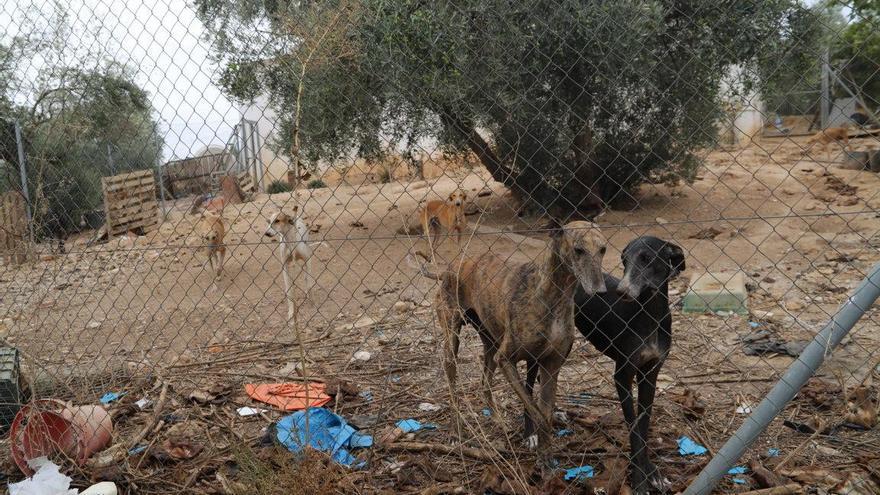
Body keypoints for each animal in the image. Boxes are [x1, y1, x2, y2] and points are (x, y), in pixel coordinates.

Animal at [418, 219, 604, 452]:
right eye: (578, 250)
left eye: (603, 249)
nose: (600, 291)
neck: (552, 294)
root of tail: (450, 269)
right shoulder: (506, 359)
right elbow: (536, 410)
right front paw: (536, 439)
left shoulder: (548, 363)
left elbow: (539, 406)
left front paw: (542, 448)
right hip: (453, 343)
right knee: (453, 389)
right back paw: (455, 432)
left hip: (490, 345)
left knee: (485, 384)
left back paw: (498, 421)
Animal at [576, 236, 688, 495]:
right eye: (623, 259)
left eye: (647, 258)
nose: (621, 291)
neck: (650, 314)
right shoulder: (622, 376)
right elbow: (633, 428)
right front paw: (639, 480)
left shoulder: (650, 374)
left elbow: (643, 425)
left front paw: (652, 473)